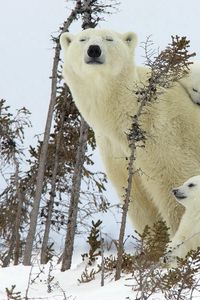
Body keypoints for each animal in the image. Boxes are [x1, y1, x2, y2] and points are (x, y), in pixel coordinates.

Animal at [59, 28, 200, 236]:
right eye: (83, 39)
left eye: (109, 39)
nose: (94, 50)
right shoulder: (115, 150)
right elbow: (139, 203)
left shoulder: (163, 133)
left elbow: (175, 185)